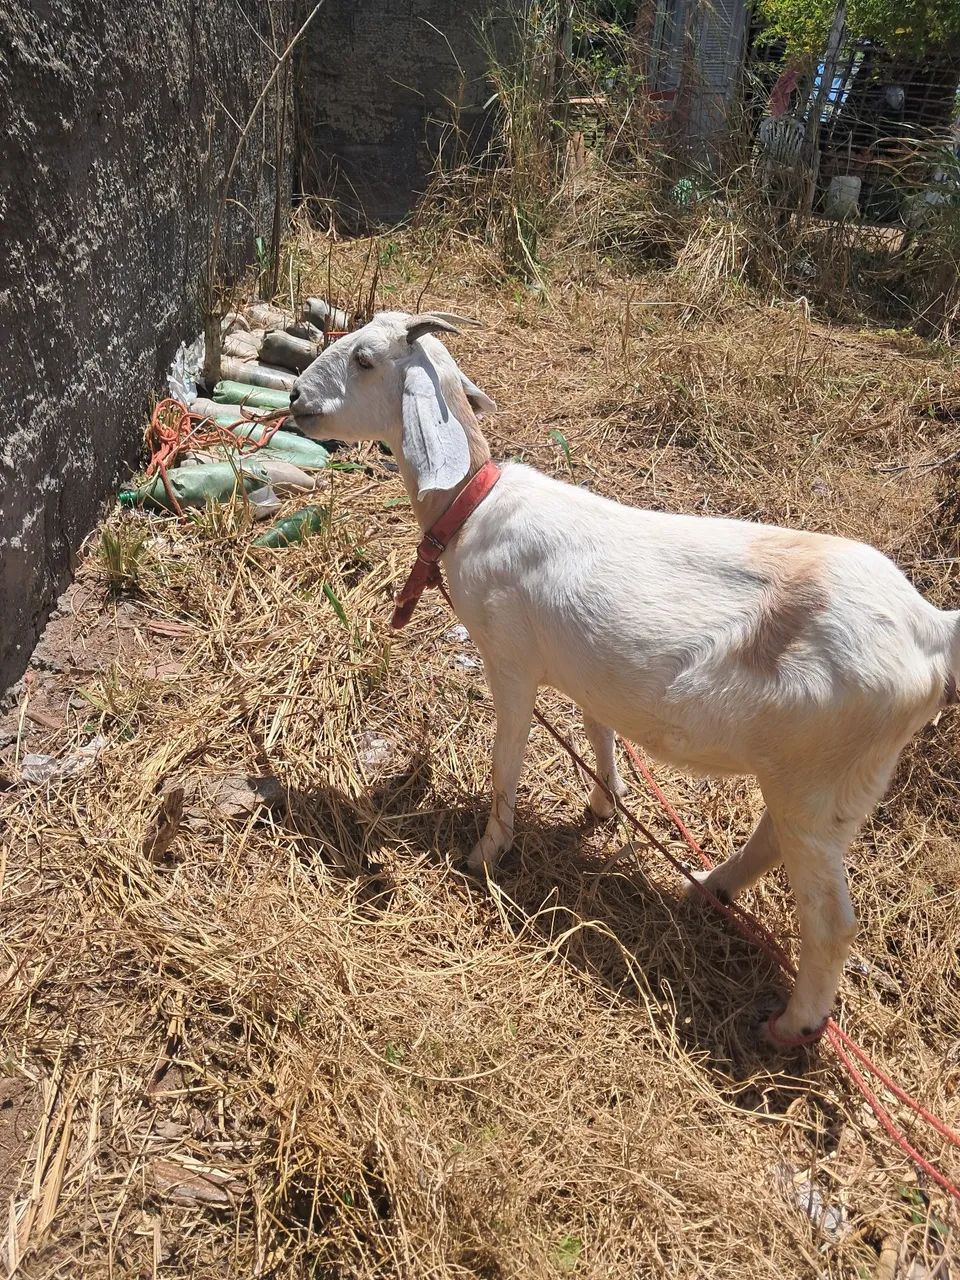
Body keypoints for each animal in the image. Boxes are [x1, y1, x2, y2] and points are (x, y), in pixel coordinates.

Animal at [290, 311, 959, 1045]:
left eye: (364, 359)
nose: (295, 398)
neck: (473, 508)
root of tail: (932, 630)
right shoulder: (591, 671)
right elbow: (599, 730)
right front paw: (604, 805)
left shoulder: (510, 661)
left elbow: (505, 761)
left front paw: (486, 852)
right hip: (819, 779)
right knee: (772, 840)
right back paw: (708, 886)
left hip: (823, 776)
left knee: (832, 919)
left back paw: (791, 1025)